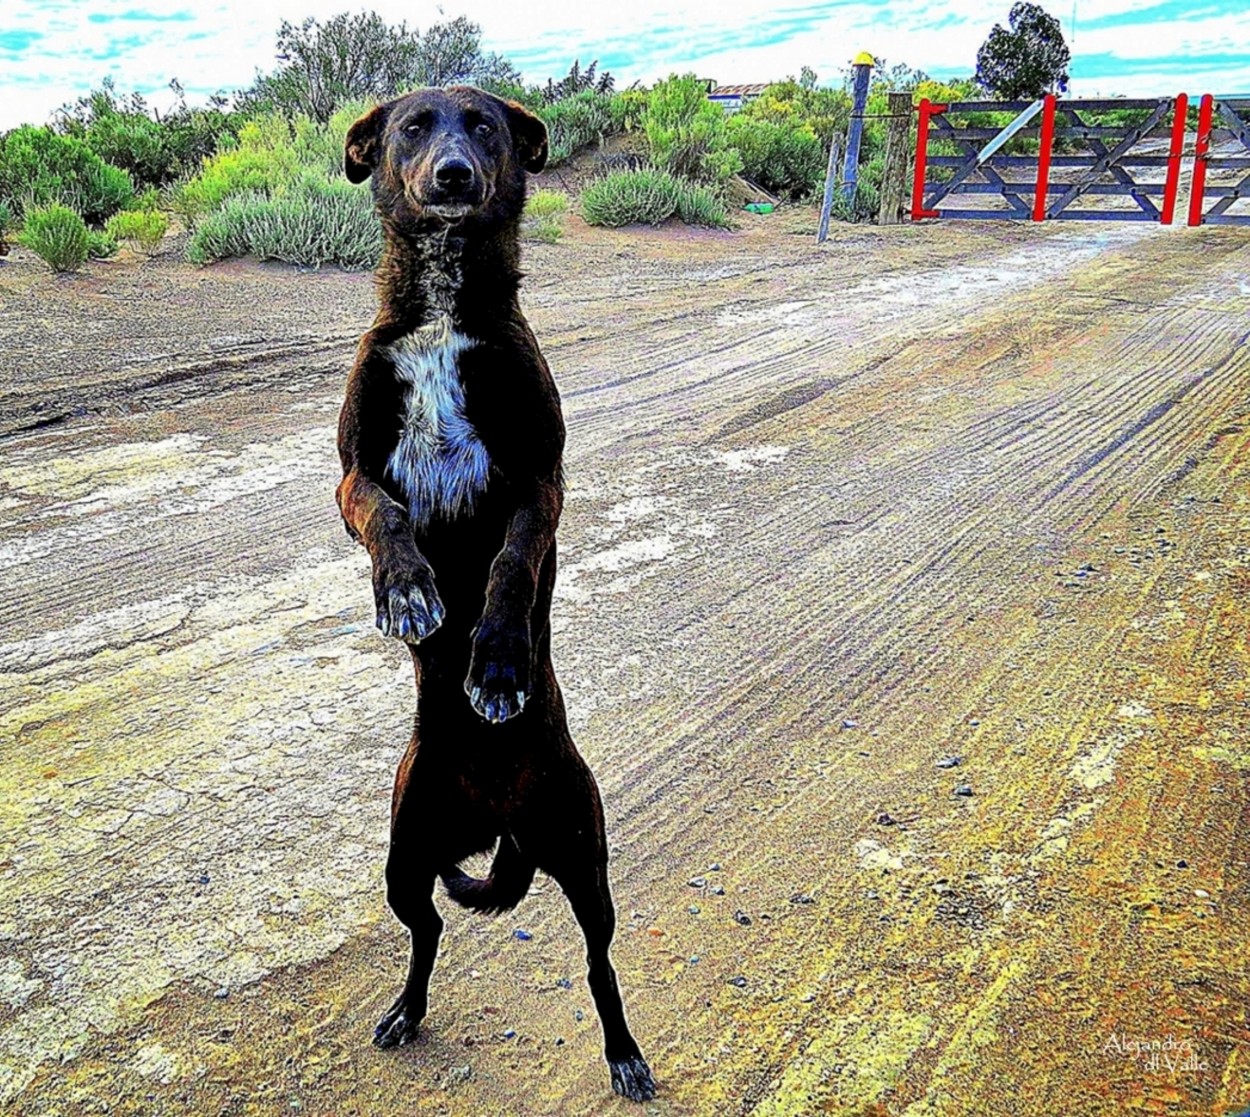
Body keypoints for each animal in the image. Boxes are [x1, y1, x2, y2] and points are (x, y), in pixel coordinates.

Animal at [332, 87, 660, 1099]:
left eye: (482, 126)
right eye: (411, 128)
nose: (452, 176)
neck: (444, 313)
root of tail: (499, 821)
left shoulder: (540, 483)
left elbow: (512, 566)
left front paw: (501, 665)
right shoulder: (351, 476)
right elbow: (387, 516)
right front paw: (407, 591)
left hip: (584, 859)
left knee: (599, 963)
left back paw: (624, 1052)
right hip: (406, 854)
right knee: (430, 928)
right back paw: (406, 1009)